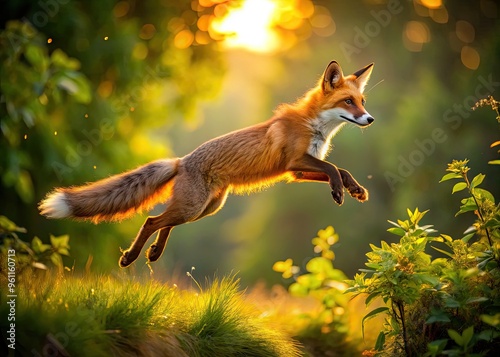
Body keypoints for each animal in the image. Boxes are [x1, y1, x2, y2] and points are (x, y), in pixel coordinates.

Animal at [39, 60, 376, 268]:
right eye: (348, 102)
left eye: (362, 102)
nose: (370, 119)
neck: (314, 127)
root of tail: (181, 161)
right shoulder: (296, 160)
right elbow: (333, 169)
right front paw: (339, 191)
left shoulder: (296, 171)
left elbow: (340, 170)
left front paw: (354, 190)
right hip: (195, 207)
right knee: (151, 221)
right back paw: (131, 257)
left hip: (205, 208)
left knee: (164, 222)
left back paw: (154, 252)